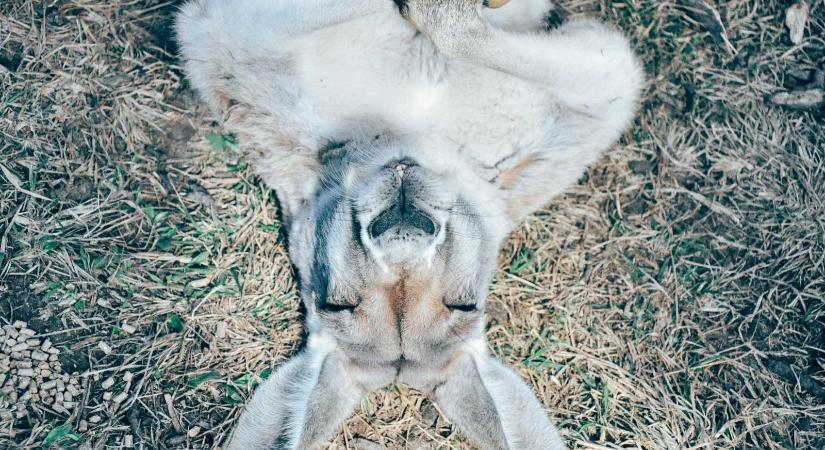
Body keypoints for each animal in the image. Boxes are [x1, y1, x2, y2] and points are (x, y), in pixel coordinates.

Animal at [175, 0, 644, 446]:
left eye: (463, 305)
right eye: (337, 304)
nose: (404, 226)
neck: (403, 140)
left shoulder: (592, 99)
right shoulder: (237, 38)